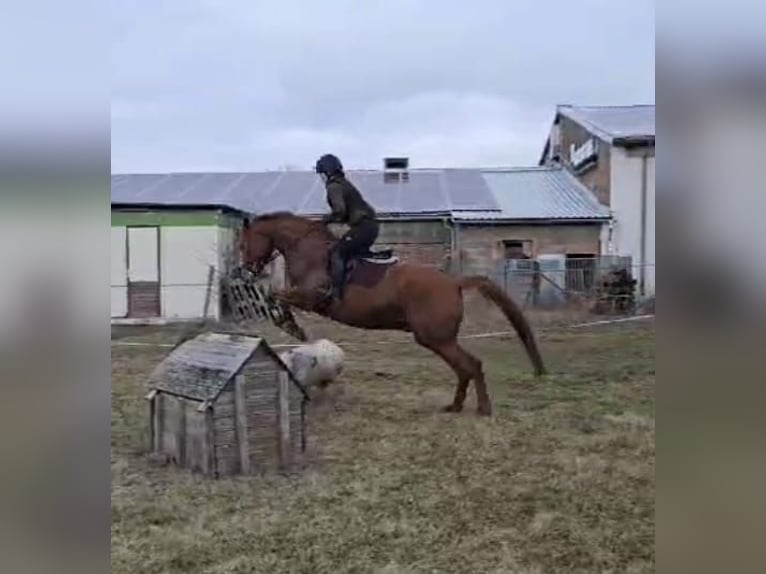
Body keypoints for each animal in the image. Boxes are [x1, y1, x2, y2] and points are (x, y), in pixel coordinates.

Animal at [240, 212, 544, 418]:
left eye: (244, 244)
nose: (247, 269)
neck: (308, 251)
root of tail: (453, 283)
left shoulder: (311, 297)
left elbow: (275, 296)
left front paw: (289, 325)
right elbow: (275, 295)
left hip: (436, 338)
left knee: (471, 365)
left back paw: (482, 408)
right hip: (438, 339)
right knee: (465, 367)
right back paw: (456, 406)